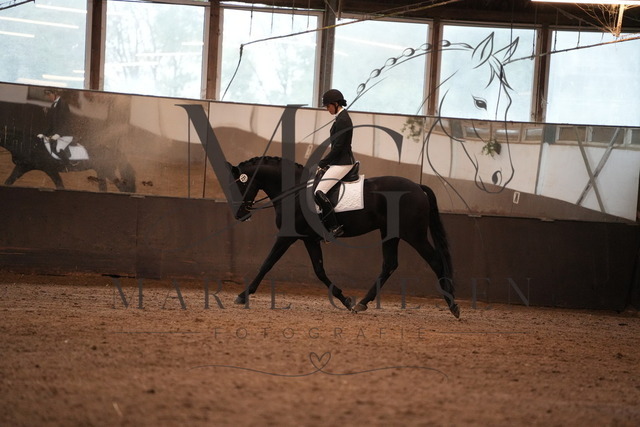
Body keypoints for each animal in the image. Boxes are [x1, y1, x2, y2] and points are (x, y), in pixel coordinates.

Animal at [0, 127, 136, 192]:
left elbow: (60, 185)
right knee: (104, 188)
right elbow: (9, 181)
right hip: (101, 172)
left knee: (121, 187)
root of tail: (114, 151)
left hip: (107, 171)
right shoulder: (22, 167)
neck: (30, 146)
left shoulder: (50, 169)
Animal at [229, 156, 459, 318]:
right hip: (390, 233)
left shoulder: (287, 236)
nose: (239, 215)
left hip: (414, 234)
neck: (293, 193)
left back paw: (453, 305)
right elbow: (320, 271)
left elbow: (267, 264)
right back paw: (362, 303)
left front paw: (242, 295)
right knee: (389, 265)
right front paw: (345, 300)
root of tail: (418, 187)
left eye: (240, 185)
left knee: (435, 261)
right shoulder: (309, 239)